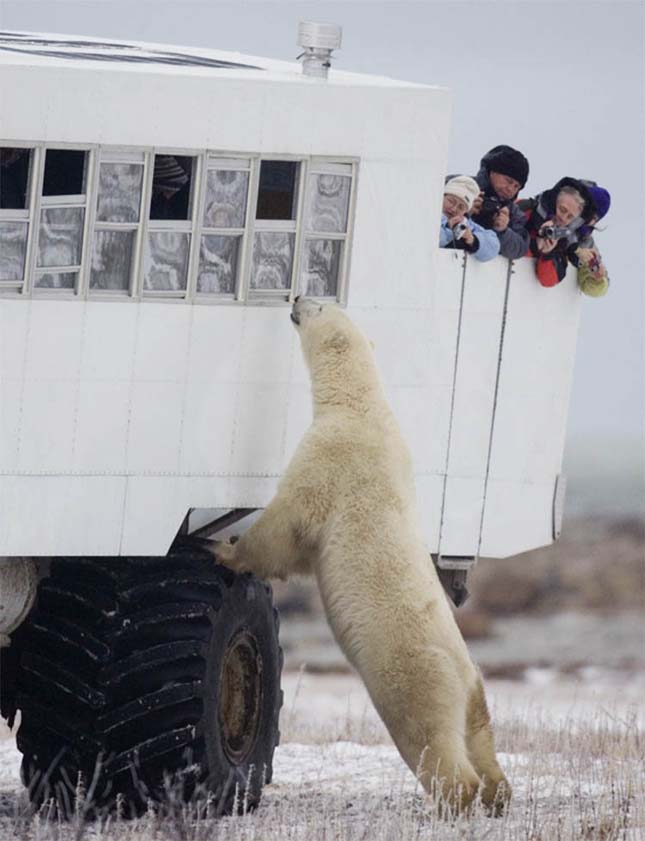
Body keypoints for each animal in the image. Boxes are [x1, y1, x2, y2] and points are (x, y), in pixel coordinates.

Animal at [206, 296, 508, 812]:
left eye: (317, 303)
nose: (296, 298)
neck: (363, 407)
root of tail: (462, 673)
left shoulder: (331, 457)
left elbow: (288, 524)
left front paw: (222, 549)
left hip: (415, 675)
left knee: (428, 736)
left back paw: (458, 796)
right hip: (475, 688)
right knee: (481, 733)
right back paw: (498, 793)